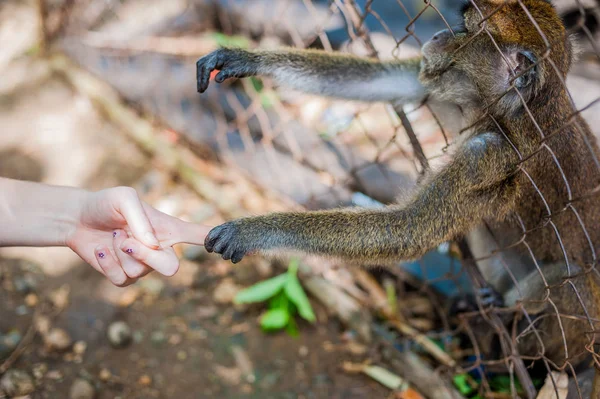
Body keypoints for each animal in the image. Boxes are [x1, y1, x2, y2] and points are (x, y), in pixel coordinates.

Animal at [199, 0, 600, 372]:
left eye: (466, 30)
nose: (439, 36)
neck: (509, 111)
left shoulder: (487, 154)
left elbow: (408, 230)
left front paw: (253, 231)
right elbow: (385, 81)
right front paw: (245, 57)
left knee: (572, 283)